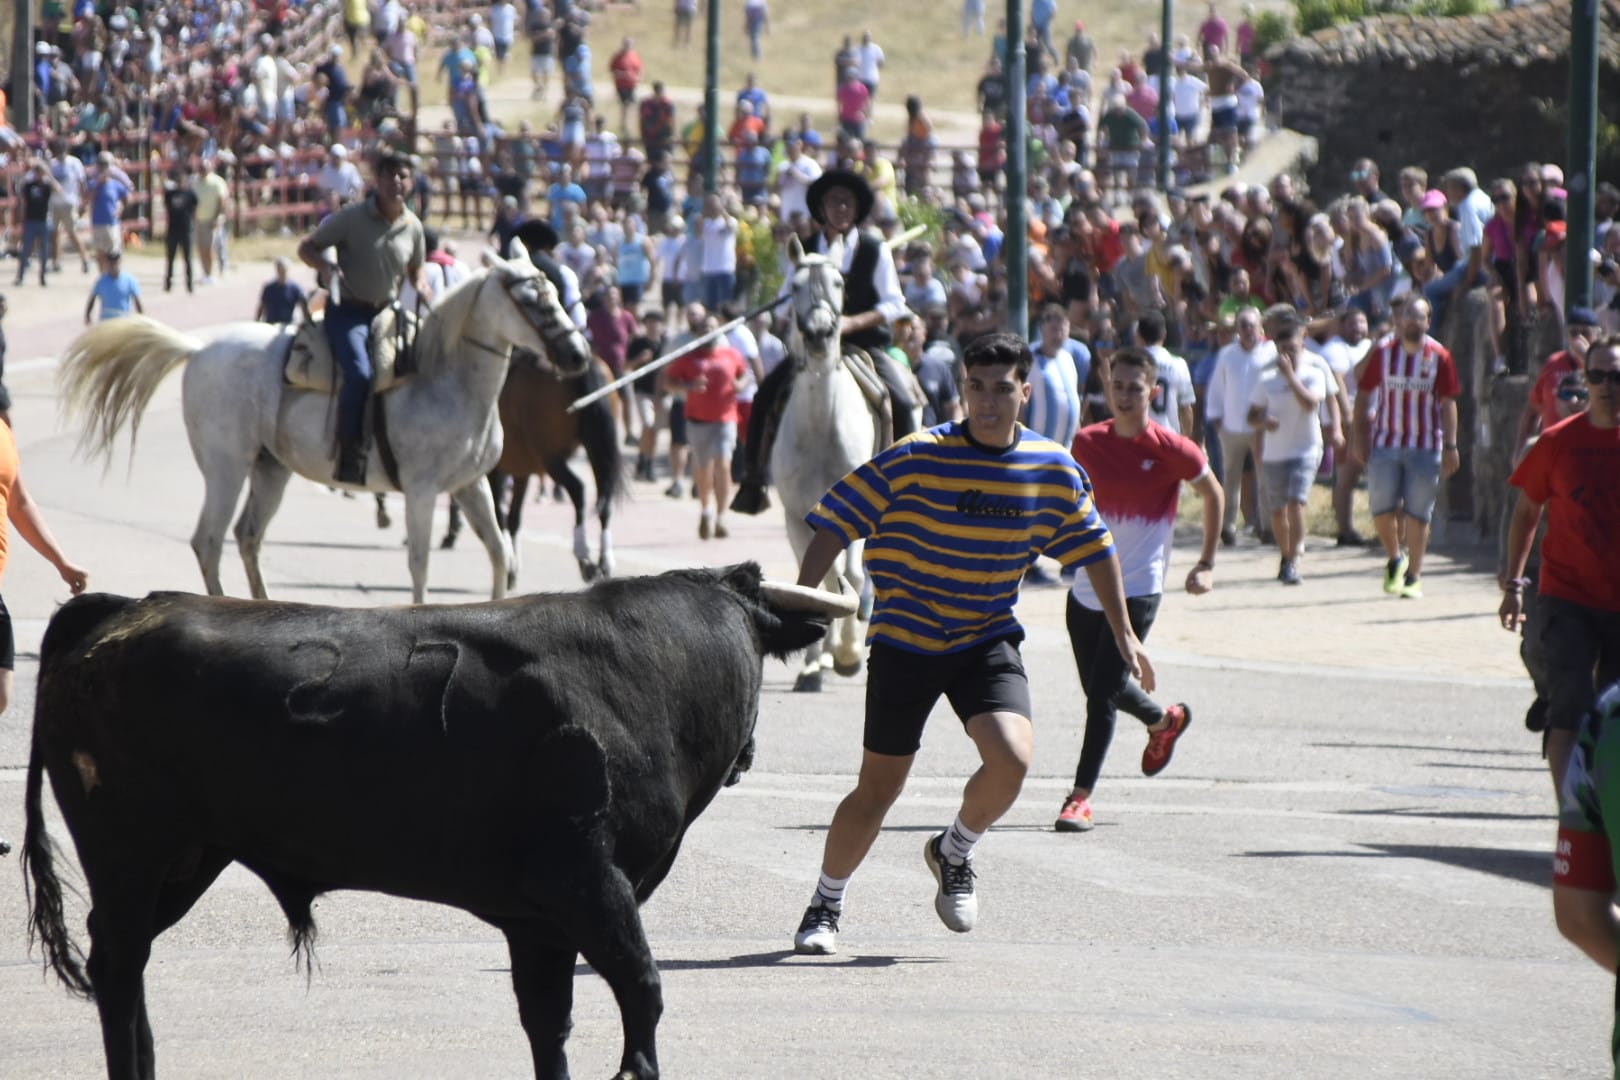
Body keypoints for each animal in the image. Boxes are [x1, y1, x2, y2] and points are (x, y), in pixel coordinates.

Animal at [22, 563, 835, 1080]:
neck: (648, 668)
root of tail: (124, 609)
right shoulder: (586, 880)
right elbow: (643, 988)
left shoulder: (538, 920)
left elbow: (550, 1025)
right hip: (129, 850)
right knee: (118, 965)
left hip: (187, 859)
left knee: (121, 962)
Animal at [64, 254, 596, 608]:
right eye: (529, 299)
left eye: (553, 290)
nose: (577, 355)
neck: (444, 377)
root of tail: (197, 350)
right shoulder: (422, 490)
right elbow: (420, 562)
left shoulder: (470, 485)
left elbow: (500, 553)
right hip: (226, 469)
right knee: (209, 541)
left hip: (270, 470)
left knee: (247, 536)